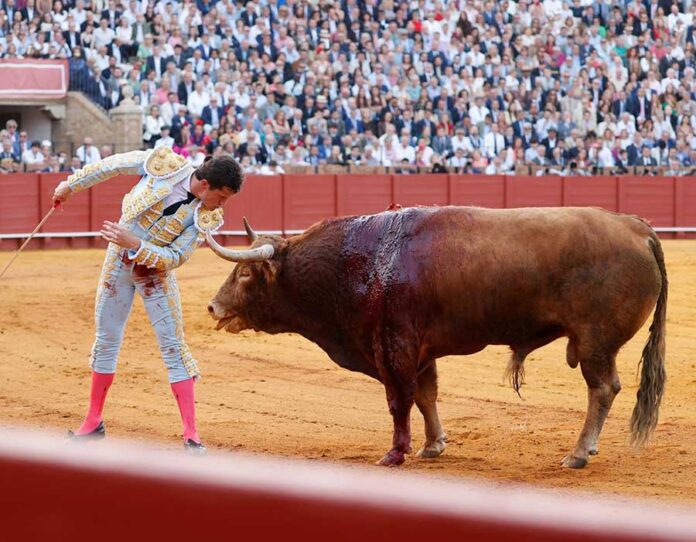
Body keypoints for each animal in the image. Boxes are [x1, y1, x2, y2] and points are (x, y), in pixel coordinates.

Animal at [206, 206, 667, 468]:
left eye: (244, 273)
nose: (213, 307)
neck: (358, 261)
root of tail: (637, 226)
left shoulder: (393, 347)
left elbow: (400, 401)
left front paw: (395, 453)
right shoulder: (420, 353)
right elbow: (427, 396)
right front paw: (433, 446)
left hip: (594, 342)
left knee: (602, 389)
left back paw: (577, 454)